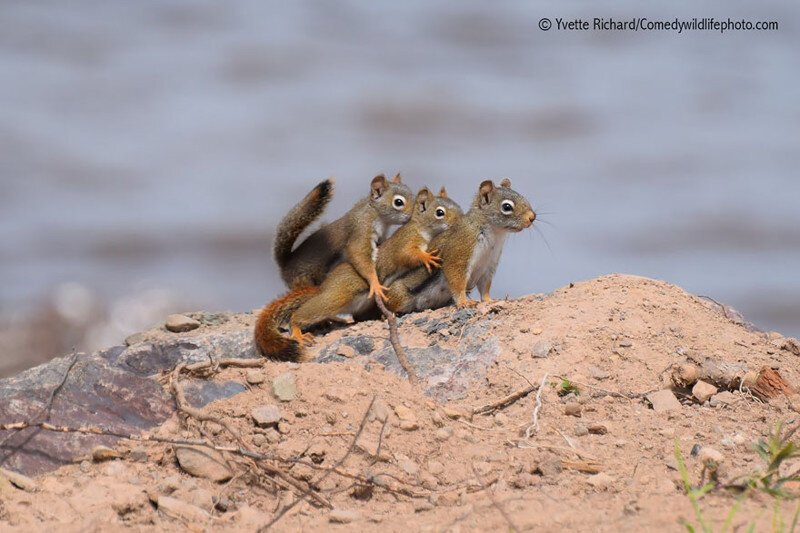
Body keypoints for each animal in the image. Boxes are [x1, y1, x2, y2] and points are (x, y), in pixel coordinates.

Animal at [253, 187, 460, 362]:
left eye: (457, 206)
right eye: (440, 212)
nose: (460, 220)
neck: (422, 228)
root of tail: (324, 286)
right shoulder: (406, 241)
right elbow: (407, 255)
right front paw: (426, 257)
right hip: (336, 296)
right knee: (304, 313)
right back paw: (297, 330)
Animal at [274, 172, 412, 298]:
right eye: (398, 202)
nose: (411, 216)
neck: (376, 214)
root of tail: (286, 265)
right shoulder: (361, 229)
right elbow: (358, 255)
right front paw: (375, 284)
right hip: (304, 279)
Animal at [382, 178, 536, 312]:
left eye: (522, 197)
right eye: (507, 206)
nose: (532, 217)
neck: (494, 235)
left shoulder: (488, 265)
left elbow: (485, 287)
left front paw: (489, 300)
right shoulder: (461, 250)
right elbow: (457, 281)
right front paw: (463, 302)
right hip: (399, 295)